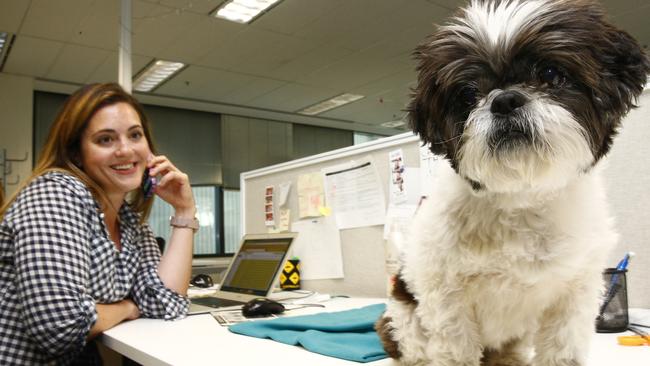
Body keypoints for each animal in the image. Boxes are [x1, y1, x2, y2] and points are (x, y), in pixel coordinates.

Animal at [374, 0, 648, 366]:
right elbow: (455, 346)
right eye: (468, 94)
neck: (521, 199)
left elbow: (561, 347)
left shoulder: (574, 292)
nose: (504, 100)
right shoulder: (446, 297)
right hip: (402, 321)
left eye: (550, 74)